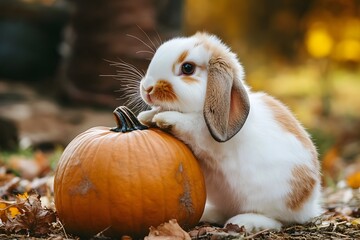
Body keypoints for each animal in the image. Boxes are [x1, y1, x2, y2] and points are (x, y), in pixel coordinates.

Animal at [136, 32, 322, 232]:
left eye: (187, 68)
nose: (147, 89)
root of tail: (308, 205)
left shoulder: (201, 132)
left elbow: (188, 123)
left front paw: (164, 118)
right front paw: (145, 116)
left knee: (276, 220)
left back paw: (245, 221)